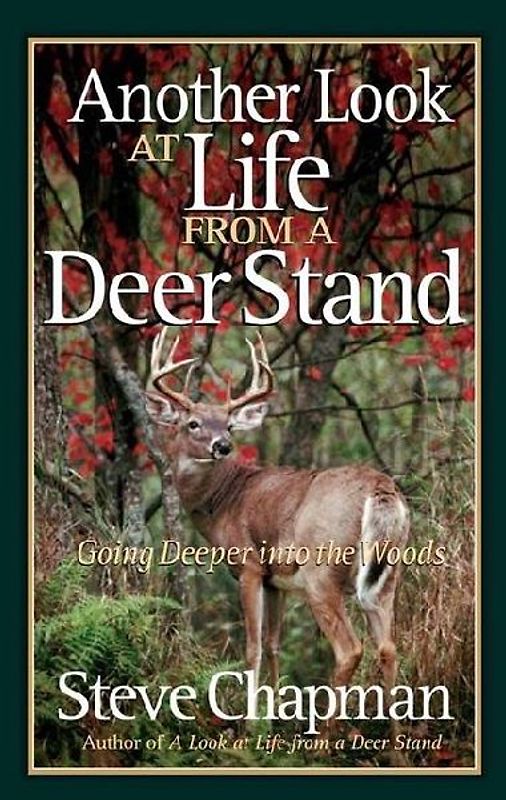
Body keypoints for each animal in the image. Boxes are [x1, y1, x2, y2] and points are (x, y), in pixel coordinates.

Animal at [145, 328, 410, 729]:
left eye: (228, 424)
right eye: (193, 423)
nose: (223, 445)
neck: (224, 499)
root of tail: (380, 489)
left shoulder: (250, 566)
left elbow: (252, 648)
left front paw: (250, 724)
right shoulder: (277, 581)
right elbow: (273, 643)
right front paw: (276, 717)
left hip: (321, 572)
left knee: (350, 650)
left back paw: (324, 738)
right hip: (387, 575)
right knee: (388, 647)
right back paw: (396, 739)